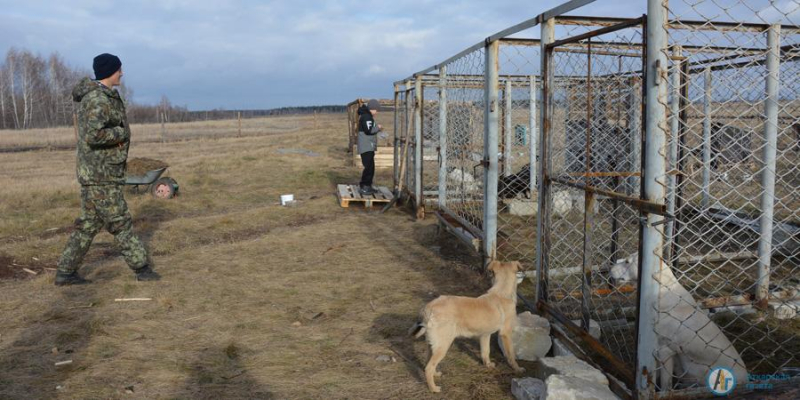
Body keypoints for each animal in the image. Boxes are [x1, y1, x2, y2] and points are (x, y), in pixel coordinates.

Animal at [410, 260, 528, 392]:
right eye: (519, 271)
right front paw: (518, 369)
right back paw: (433, 388)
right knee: (428, 367)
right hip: (443, 345)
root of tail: (429, 308)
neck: (501, 293)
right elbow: (511, 355)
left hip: (433, 345)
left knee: (428, 363)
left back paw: (435, 374)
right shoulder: (506, 334)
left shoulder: (485, 335)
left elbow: (485, 352)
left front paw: (488, 365)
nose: (525, 272)